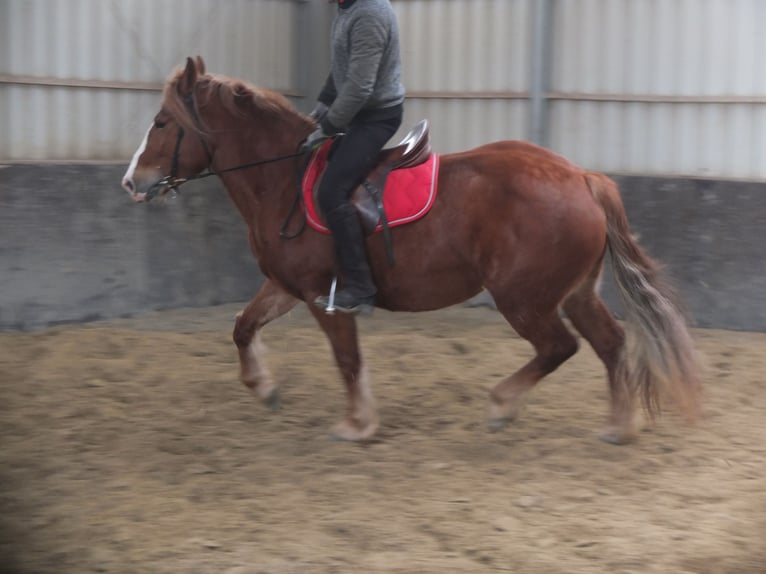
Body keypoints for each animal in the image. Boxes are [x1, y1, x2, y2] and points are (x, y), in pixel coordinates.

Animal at [123, 57, 704, 446]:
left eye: (162, 122)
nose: (132, 182)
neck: (283, 180)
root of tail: (581, 177)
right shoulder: (287, 287)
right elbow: (243, 327)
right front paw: (264, 389)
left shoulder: (326, 296)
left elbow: (348, 359)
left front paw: (357, 424)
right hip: (574, 292)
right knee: (611, 343)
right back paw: (618, 425)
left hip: (524, 298)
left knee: (559, 347)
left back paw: (503, 404)